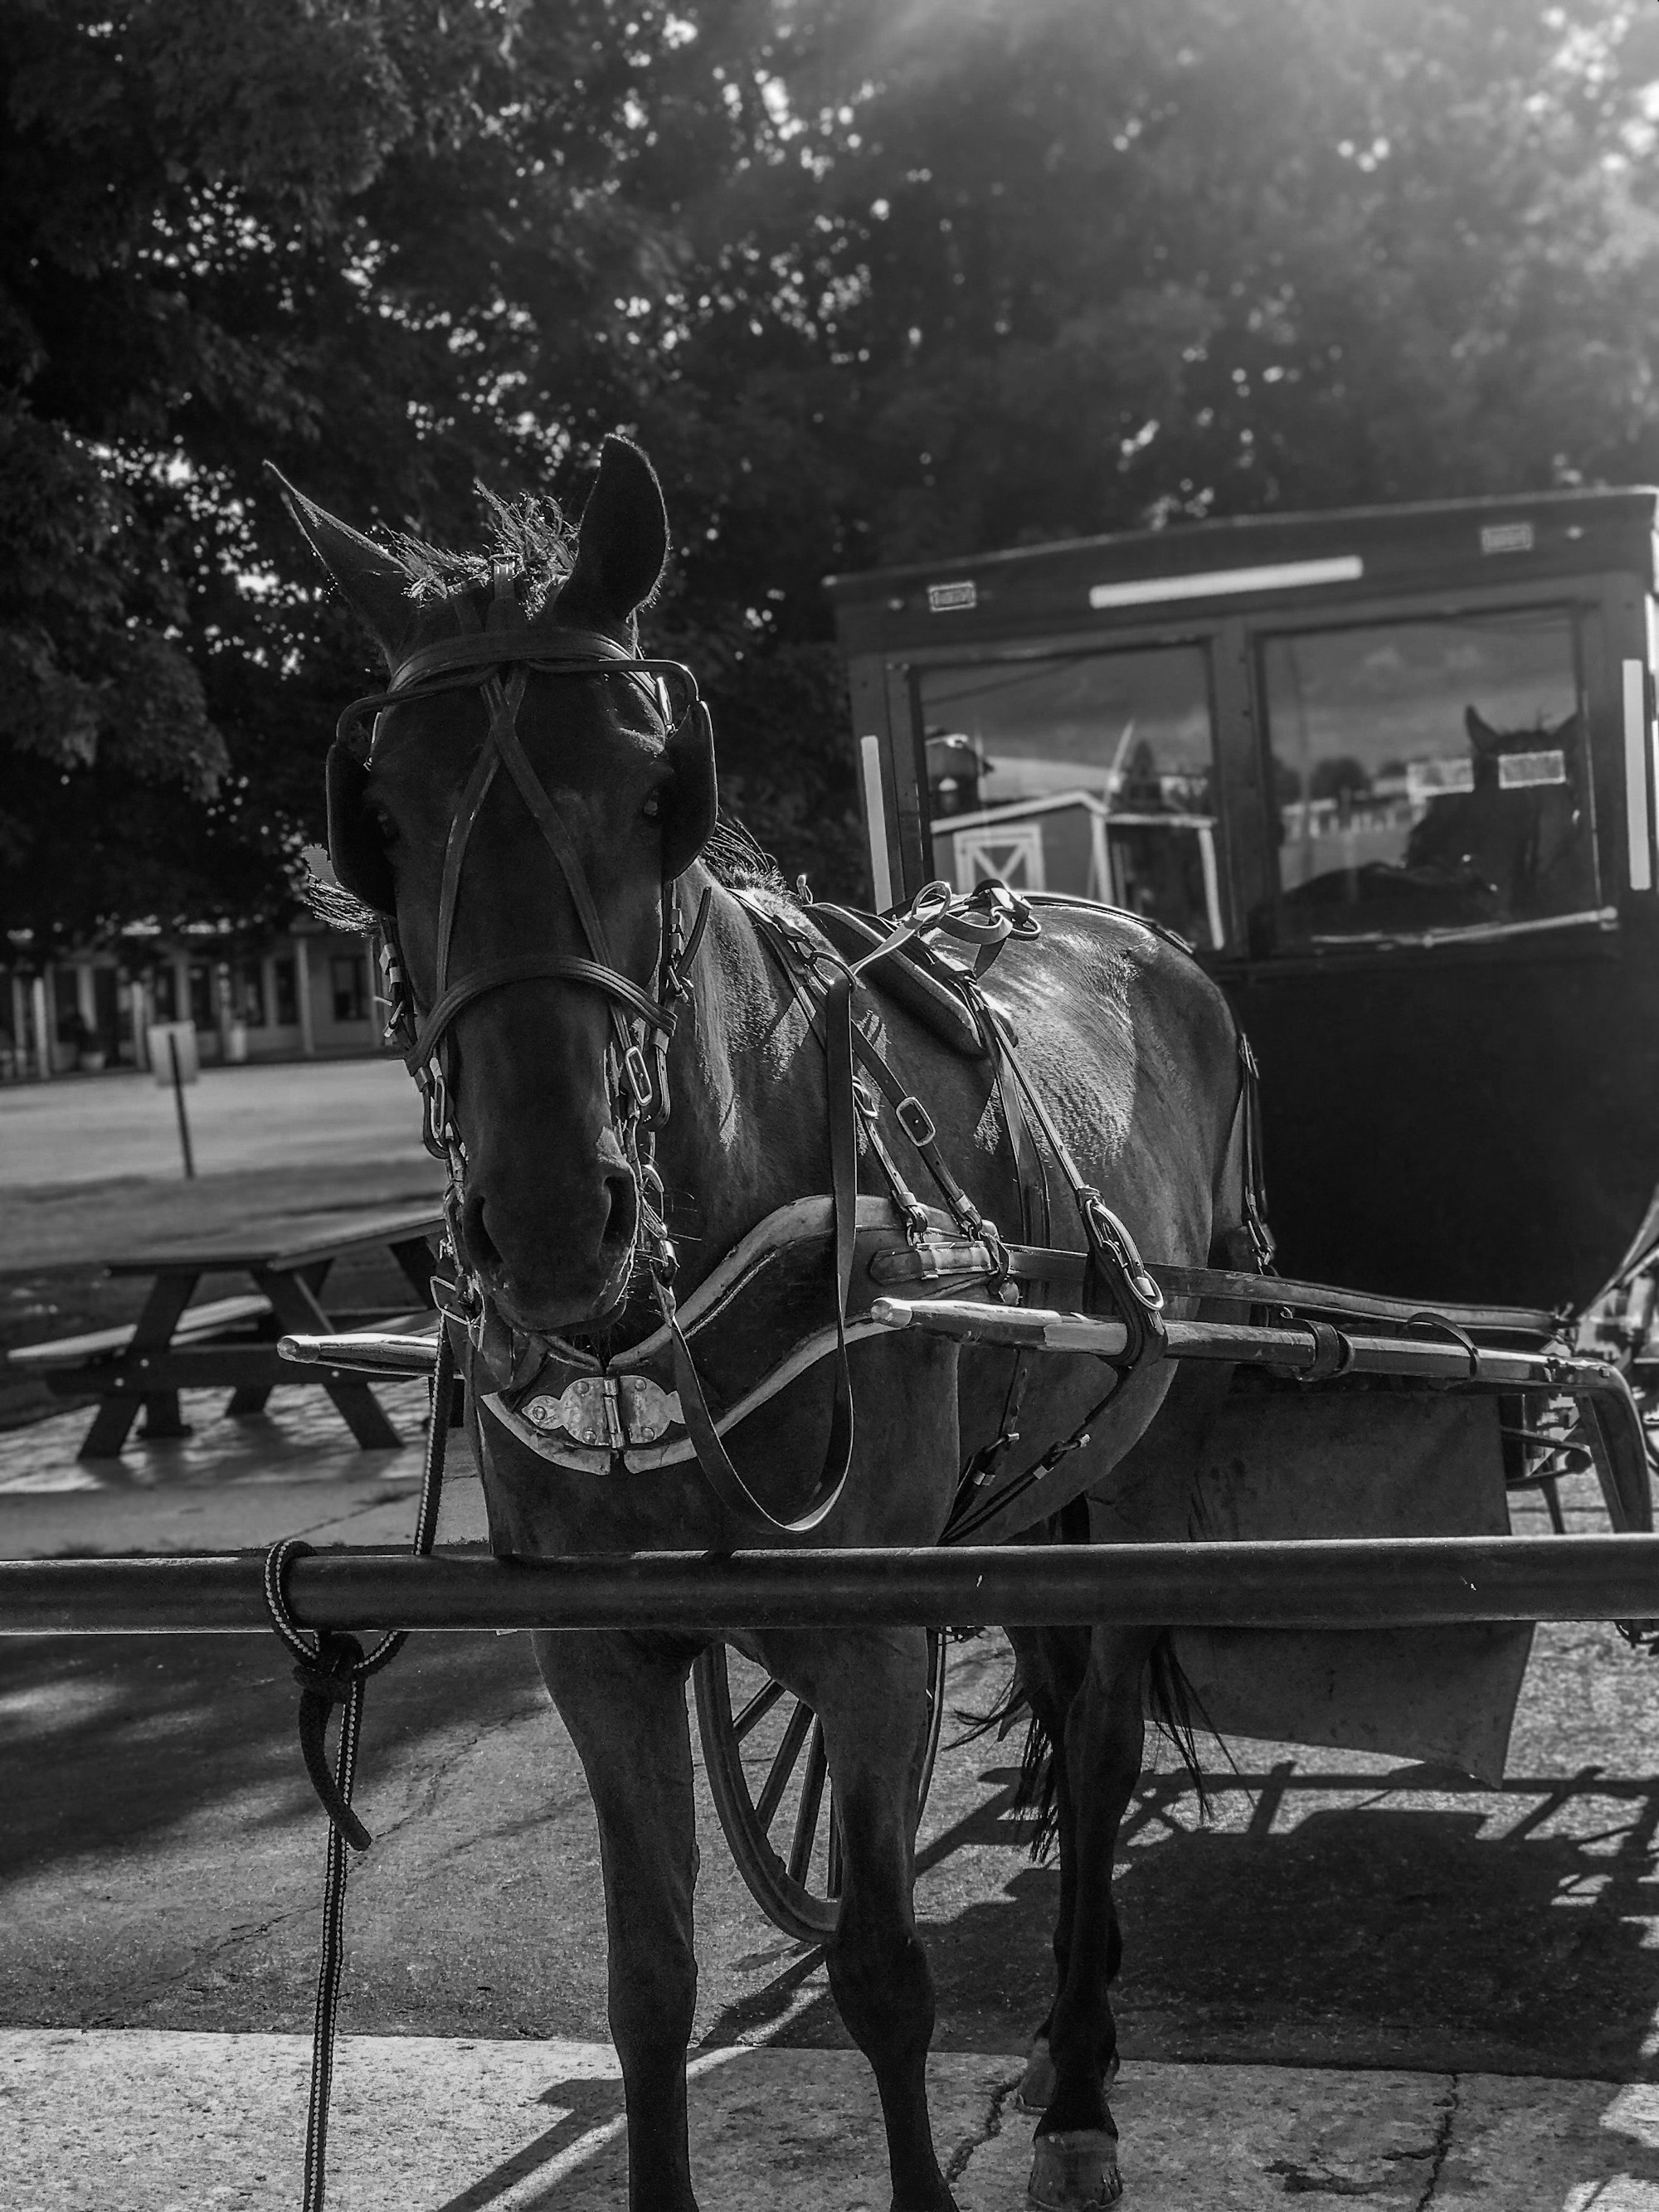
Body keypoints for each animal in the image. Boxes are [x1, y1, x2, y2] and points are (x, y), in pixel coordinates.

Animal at [276, 435, 1256, 2212]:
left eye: (656, 792)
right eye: (375, 819)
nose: (548, 1220)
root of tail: (1124, 925)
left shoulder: (872, 1639)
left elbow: (881, 1970)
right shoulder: (597, 1651)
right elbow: (648, 1975)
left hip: (1137, 1468)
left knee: (1098, 1733)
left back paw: (1082, 2078)